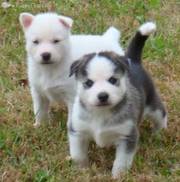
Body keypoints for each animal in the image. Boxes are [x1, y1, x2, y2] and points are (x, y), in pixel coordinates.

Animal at [68, 22, 167, 178]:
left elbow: (122, 161)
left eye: (113, 80)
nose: (103, 95)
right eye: (89, 83)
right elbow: (78, 154)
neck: (100, 114)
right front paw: (82, 170)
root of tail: (133, 61)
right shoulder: (77, 131)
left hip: (153, 106)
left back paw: (158, 133)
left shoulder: (127, 136)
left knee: (161, 115)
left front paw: (118, 176)